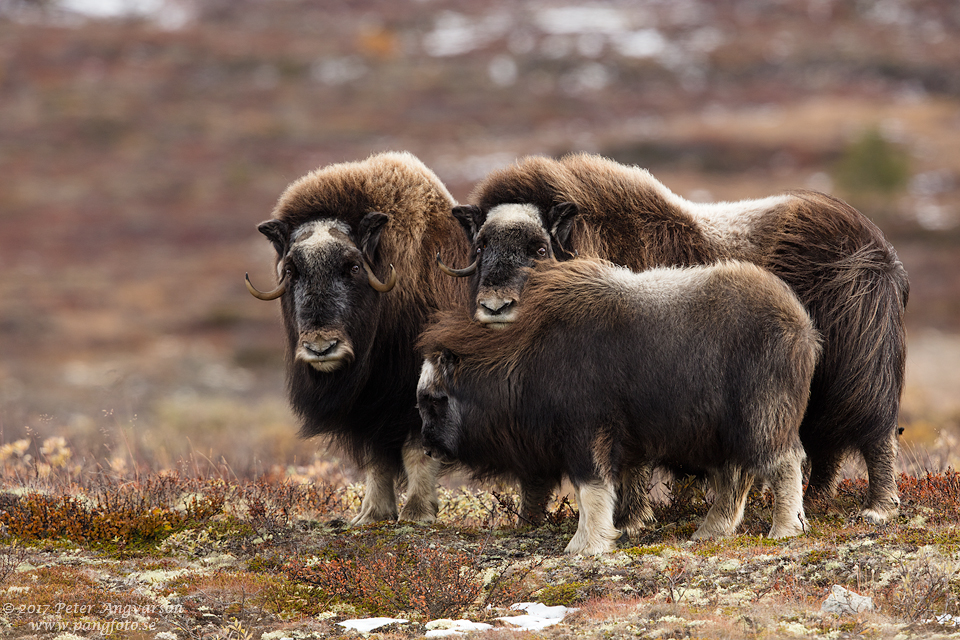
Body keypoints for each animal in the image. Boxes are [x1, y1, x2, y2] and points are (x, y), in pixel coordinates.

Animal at [244, 151, 472, 524]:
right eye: (292, 270)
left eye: (352, 267)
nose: (321, 347)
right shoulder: (367, 406)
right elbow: (377, 459)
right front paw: (371, 515)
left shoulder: (413, 393)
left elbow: (417, 451)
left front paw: (416, 513)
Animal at [416, 258, 820, 552]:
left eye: (434, 400)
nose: (429, 447)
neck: (525, 358)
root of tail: (802, 324)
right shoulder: (624, 443)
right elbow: (624, 485)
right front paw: (624, 529)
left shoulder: (585, 432)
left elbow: (591, 487)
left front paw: (585, 545)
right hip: (725, 434)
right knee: (736, 477)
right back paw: (709, 532)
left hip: (763, 416)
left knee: (783, 464)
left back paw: (785, 530)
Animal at [442, 154, 908, 524]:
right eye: (481, 248)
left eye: (539, 249)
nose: (495, 306)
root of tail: (878, 246)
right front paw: (527, 521)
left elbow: (629, 462)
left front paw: (631, 520)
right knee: (827, 443)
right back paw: (816, 500)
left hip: (857, 372)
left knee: (873, 434)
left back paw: (877, 508)